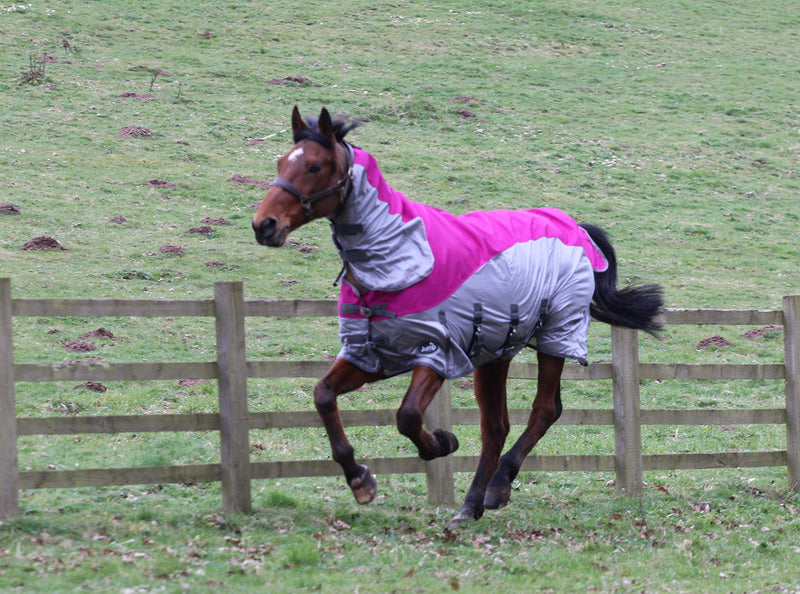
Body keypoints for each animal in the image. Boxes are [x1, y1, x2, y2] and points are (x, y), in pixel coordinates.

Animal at [252, 107, 663, 527]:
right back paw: (472, 503)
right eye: (282, 162)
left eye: (314, 166)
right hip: (496, 352)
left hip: (555, 337)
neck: (400, 262)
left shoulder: (437, 353)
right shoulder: (373, 356)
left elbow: (409, 416)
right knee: (497, 426)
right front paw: (359, 479)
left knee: (544, 410)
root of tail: (576, 229)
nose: (264, 225)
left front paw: (442, 442)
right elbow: (323, 395)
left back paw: (498, 485)